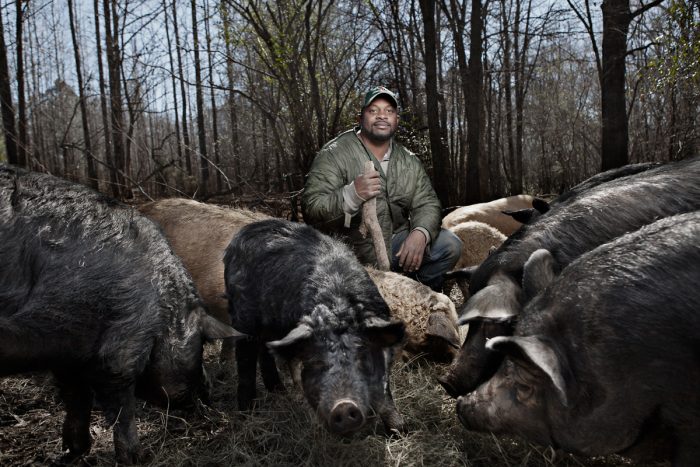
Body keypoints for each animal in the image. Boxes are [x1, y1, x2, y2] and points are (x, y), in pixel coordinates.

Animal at [0, 165, 246, 464]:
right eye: (199, 347)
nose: (208, 396)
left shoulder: (66, 353)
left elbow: (77, 396)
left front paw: (73, 452)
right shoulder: (125, 339)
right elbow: (120, 401)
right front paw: (136, 458)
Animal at [224, 219, 404, 436]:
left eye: (362, 356)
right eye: (318, 362)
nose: (344, 405)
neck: (337, 303)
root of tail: (243, 232)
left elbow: (386, 393)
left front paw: (399, 430)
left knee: (265, 351)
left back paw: (279, 391)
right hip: (243, 315)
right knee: (245, 358)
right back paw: (246, 412)